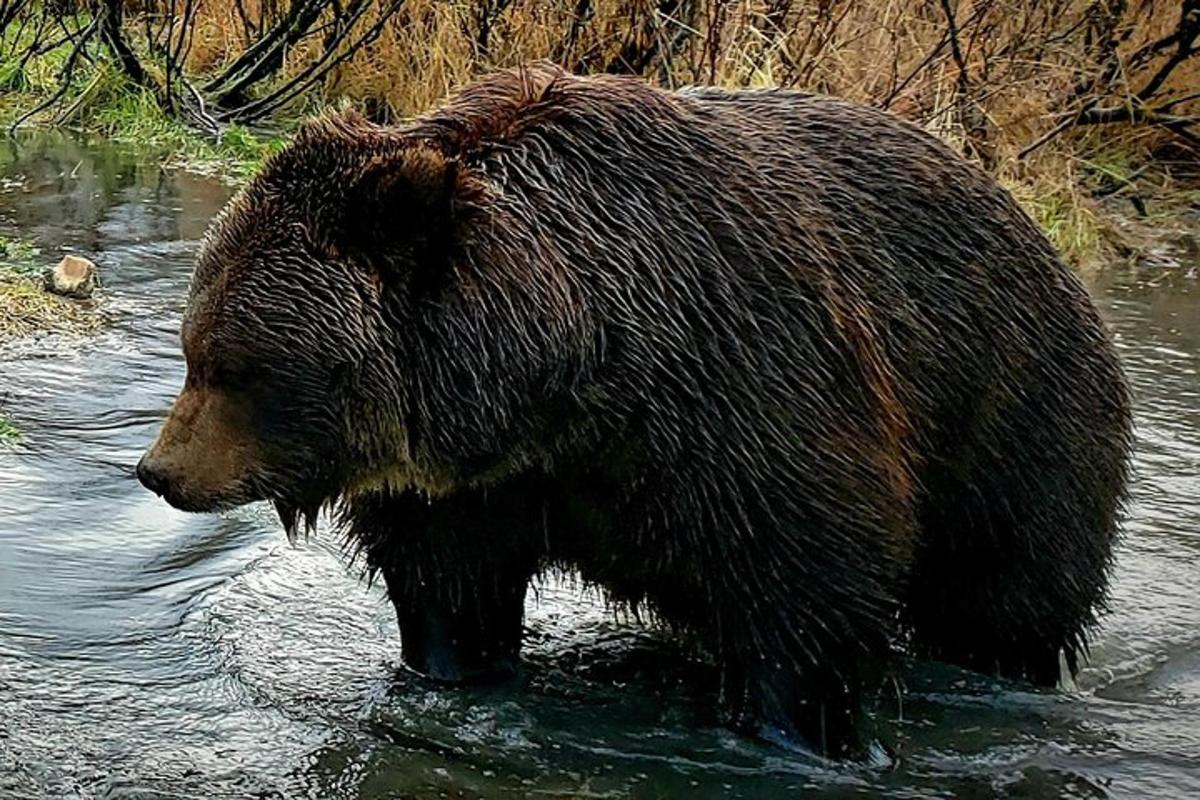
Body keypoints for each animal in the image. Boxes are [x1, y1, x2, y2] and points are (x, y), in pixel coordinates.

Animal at [136, 62, 1128, 758]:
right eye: (192, 349)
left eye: (236, 366)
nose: (160, 472)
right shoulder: (473, 486)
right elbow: (449, 589)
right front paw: (447, 670)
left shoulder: (749, 394)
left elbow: (805, 592)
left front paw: (799, 731)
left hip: (1015, 423)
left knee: (1004, 602)